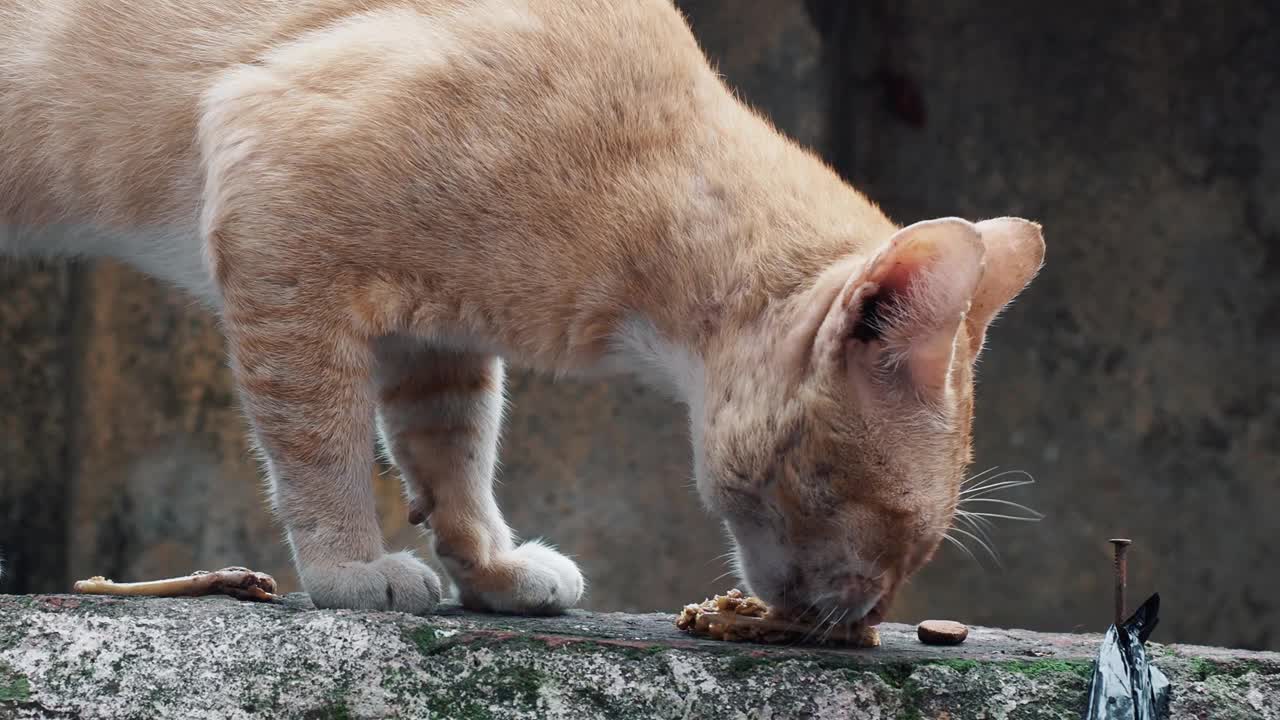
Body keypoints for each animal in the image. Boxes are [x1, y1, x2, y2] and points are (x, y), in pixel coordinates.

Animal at [2, 0, 1039, 617]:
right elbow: (317, 442)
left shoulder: (435, 338)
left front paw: (492, 571)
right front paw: (349, 569)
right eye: (886, 516)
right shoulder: (278, 202)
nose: (867, 617)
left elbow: (453, 456)